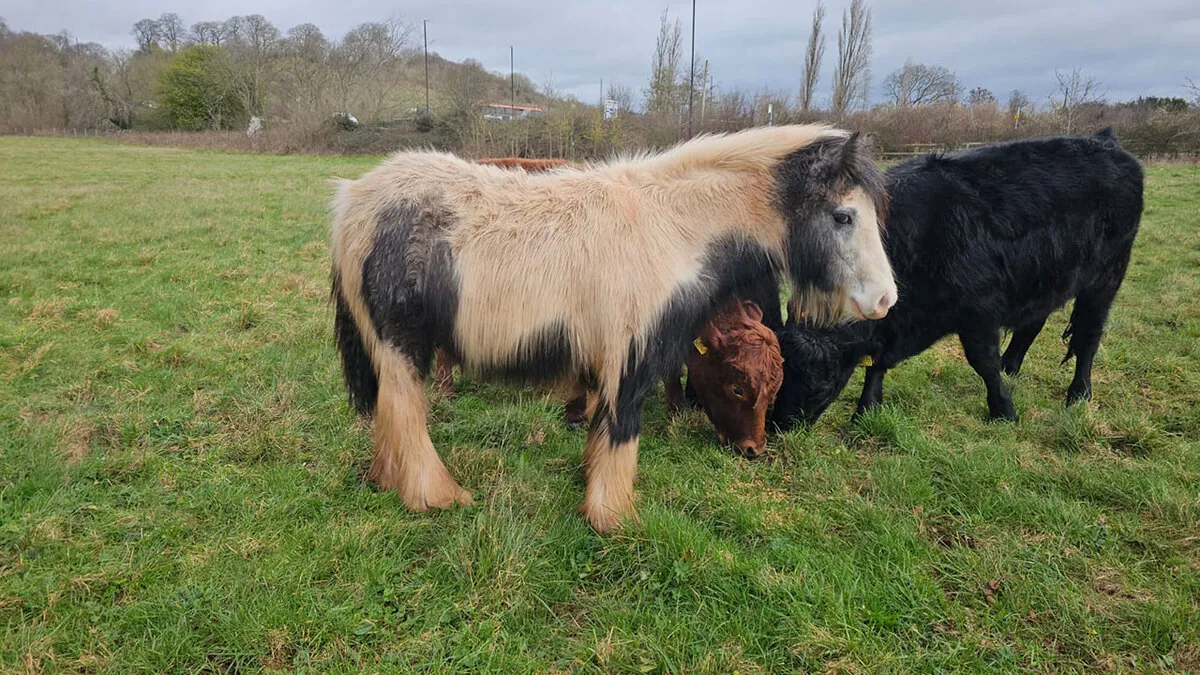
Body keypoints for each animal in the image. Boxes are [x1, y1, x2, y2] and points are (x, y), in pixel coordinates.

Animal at [330, 124, 895, 533]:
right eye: (844, 216)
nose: (886, 299)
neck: (671, 228)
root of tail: (353, 200)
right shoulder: (630, 354)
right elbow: (622, 429)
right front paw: (613, 517)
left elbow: (601, 428)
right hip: (401, 346)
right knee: (407, 414)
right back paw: (436, 497)